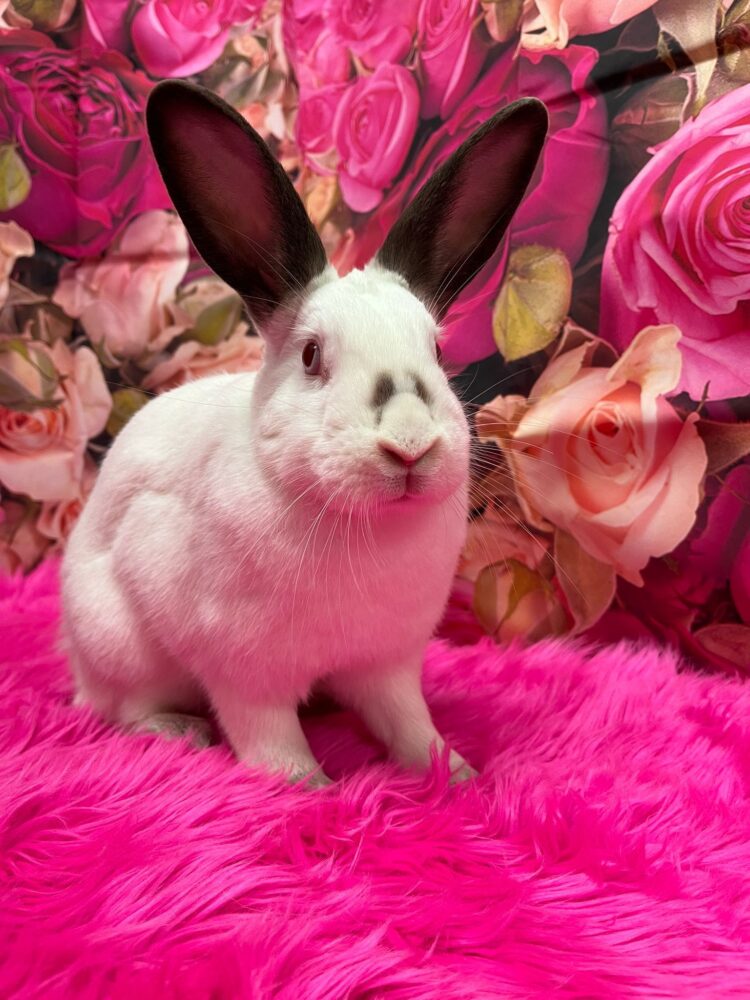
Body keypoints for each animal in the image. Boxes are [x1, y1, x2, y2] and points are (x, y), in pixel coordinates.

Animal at [60, 80, 547, 786]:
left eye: (435, 349)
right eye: (313, 355)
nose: (410, 444)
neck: (363, 526)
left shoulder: (387, 664)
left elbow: (408, 720)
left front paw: (453, 773)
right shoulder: (244, 671)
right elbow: (267, 734)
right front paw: (307, 785)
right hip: (120, 644)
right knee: (120, 707)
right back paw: (176, 731)